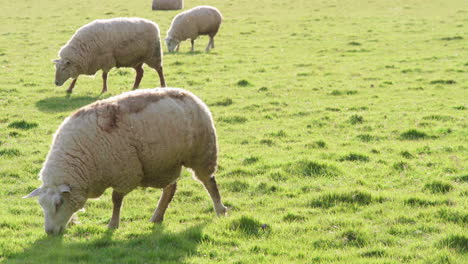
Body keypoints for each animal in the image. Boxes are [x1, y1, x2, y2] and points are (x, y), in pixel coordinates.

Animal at [24, 88, 228, 235]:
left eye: (58, 203)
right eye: (41, 205)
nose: (49, 232)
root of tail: (189, 94)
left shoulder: (124, 171)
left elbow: (116, 200)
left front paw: (113, 224)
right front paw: (75, 221)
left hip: (202, 152)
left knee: (209, 182)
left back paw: (220, 209)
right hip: (166, 162)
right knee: (170, 188)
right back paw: (157, 216)